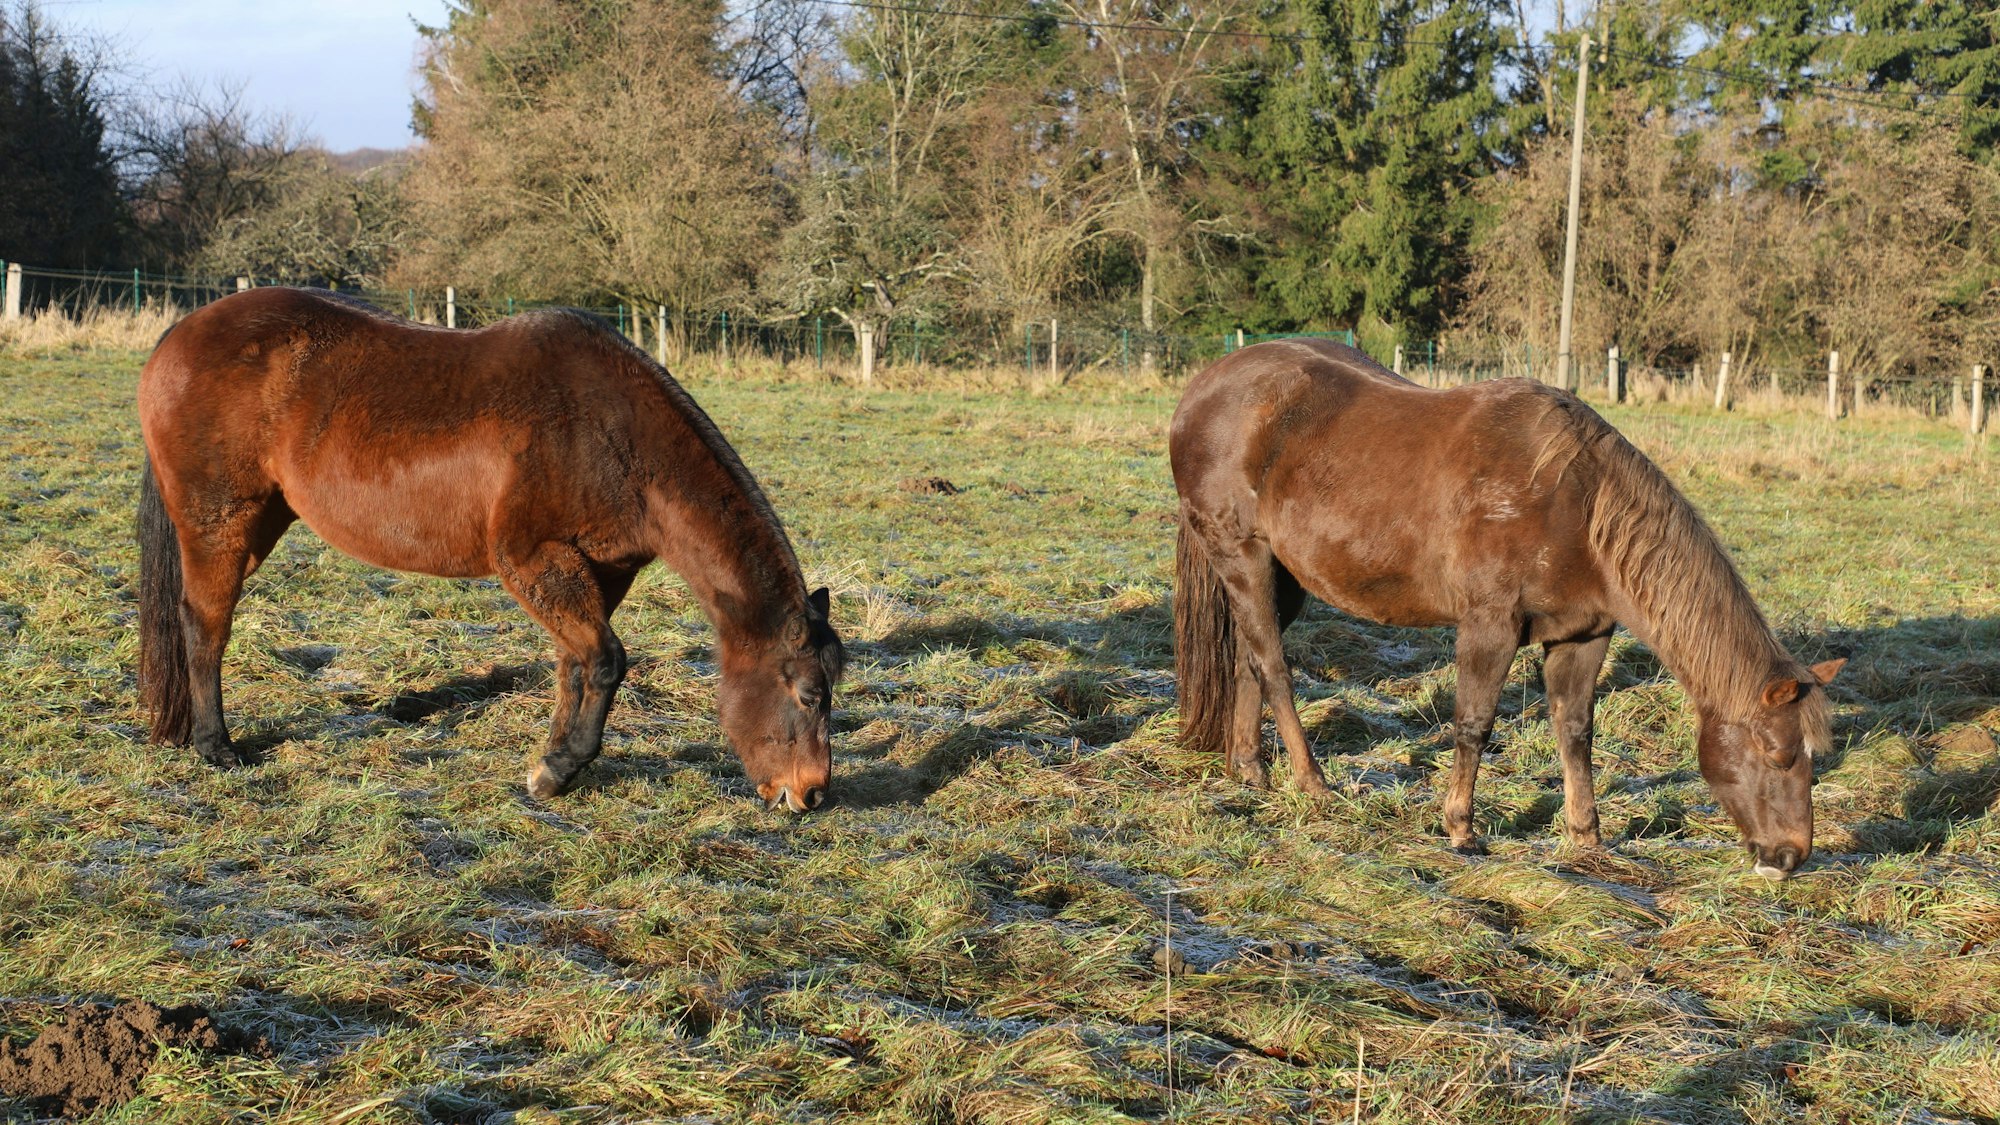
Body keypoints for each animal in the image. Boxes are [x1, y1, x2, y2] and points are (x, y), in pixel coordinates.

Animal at [137, 287, 844, 811]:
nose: (811, 795)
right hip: (219, 523)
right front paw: (557, 772)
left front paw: (553, 762)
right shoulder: (530, 559)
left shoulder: (599, 571)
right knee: (205, 625)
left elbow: (576, 666)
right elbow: (607, 661)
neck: (612, 434)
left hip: (259, 523)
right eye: (810, 694)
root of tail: (179, 335)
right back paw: (216, 747)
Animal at [1170, 339, 1843, 879]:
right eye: (1777, 754)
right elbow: (1475, 724)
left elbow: (1576, 732)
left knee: (1248, 659)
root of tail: (1204, 386)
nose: (1790, 858)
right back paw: (1312, 785)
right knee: (1275, 668)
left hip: (1280, 577)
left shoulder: (1582, 636)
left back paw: (1250, 771)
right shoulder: (1489, 628)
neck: (1577, 509)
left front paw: (1587, 837)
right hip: (1244, 557)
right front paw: (1461, 828)